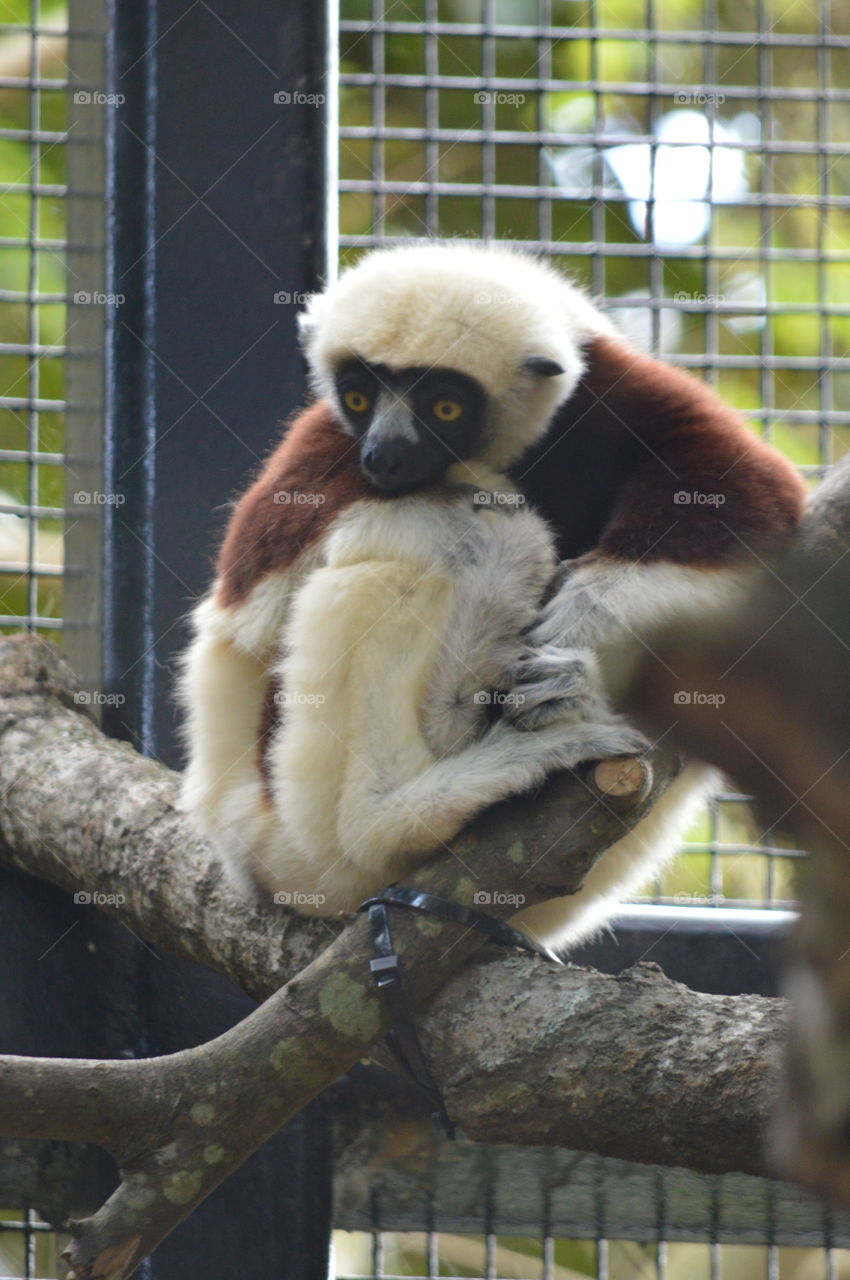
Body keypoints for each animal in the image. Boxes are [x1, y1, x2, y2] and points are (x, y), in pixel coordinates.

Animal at [178, 241, 806, 950]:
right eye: (359, 397)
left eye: (444, 408)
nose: (383, 458)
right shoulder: (327, 449)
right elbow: (246, 623)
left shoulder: (609, 390)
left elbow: (745, 491)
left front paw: (586, 624)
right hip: (286, 837)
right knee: (440, 537)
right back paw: (398, 807)